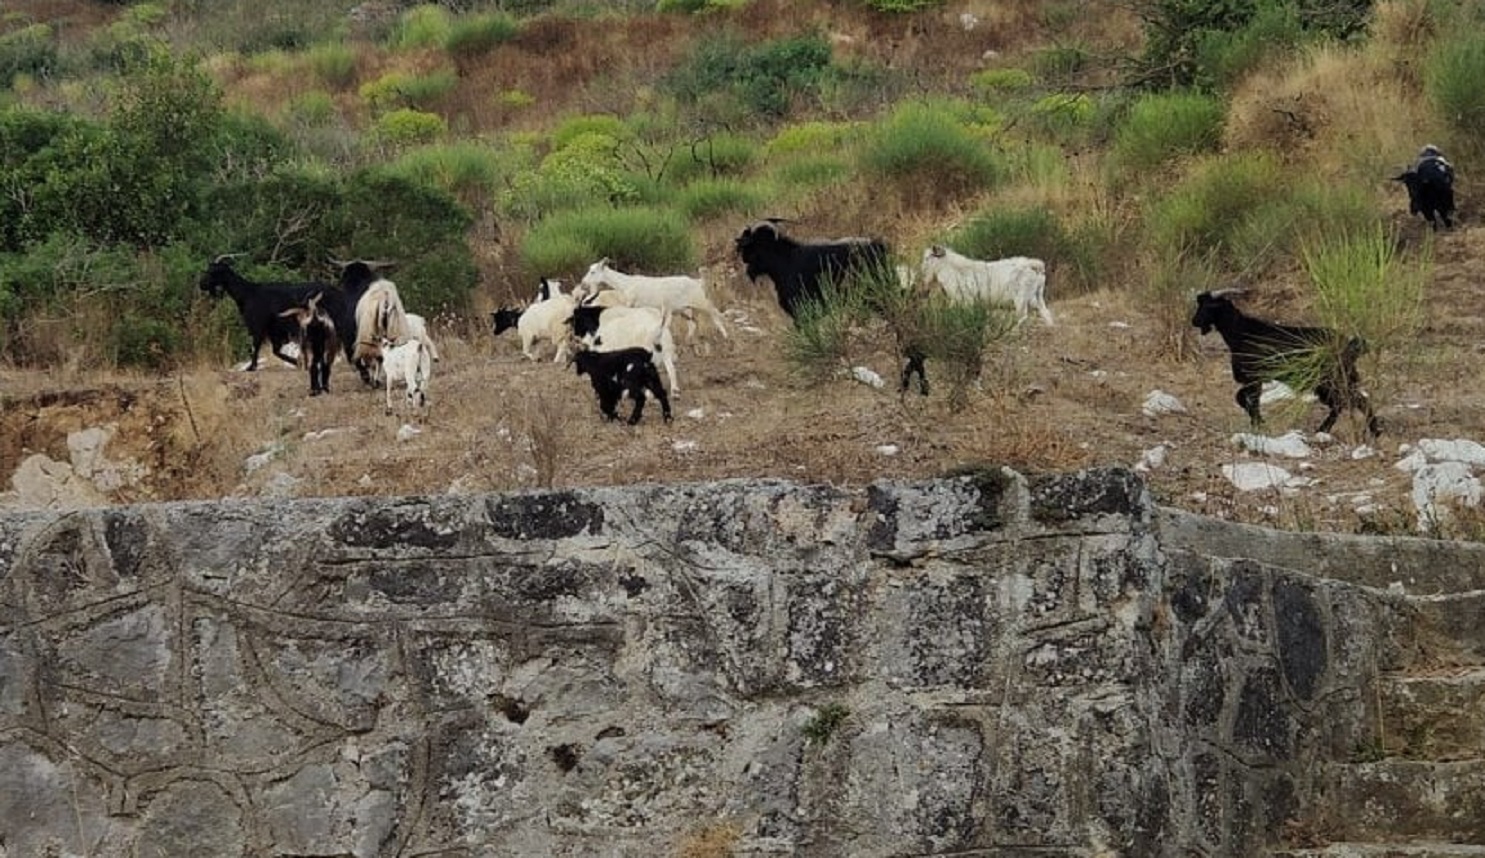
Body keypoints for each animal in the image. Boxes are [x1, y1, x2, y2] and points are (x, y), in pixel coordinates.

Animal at [570, 256, 727, 344]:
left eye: (593, 272)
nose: (583, 283)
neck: (625, 284)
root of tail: (697, 281)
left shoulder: (631, 305)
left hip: (702, 302)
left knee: (716, 315)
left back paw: (726, 336)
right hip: (684, 309)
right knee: (693, 324)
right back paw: (687, 341)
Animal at [914, 243, 1057, 323]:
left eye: (927, 258)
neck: (954, 270)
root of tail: (1034, 265)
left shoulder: (966, 301)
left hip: (1020, 299)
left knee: (1022, 318)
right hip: (1037, 296)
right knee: (1046, 314)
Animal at [1188, 290, 1384, 436]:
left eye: (1207, 306)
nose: (1194, 321)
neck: (1241, 331)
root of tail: (1347, 343)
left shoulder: (1253, 378)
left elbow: (1246, 400)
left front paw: (1260, 424)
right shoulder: (1255, 380)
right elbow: (1246, 400)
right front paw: (1258, 424)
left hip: (1331, 380)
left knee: (1350, 401)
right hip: (1332, 381)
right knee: (1348, 402)